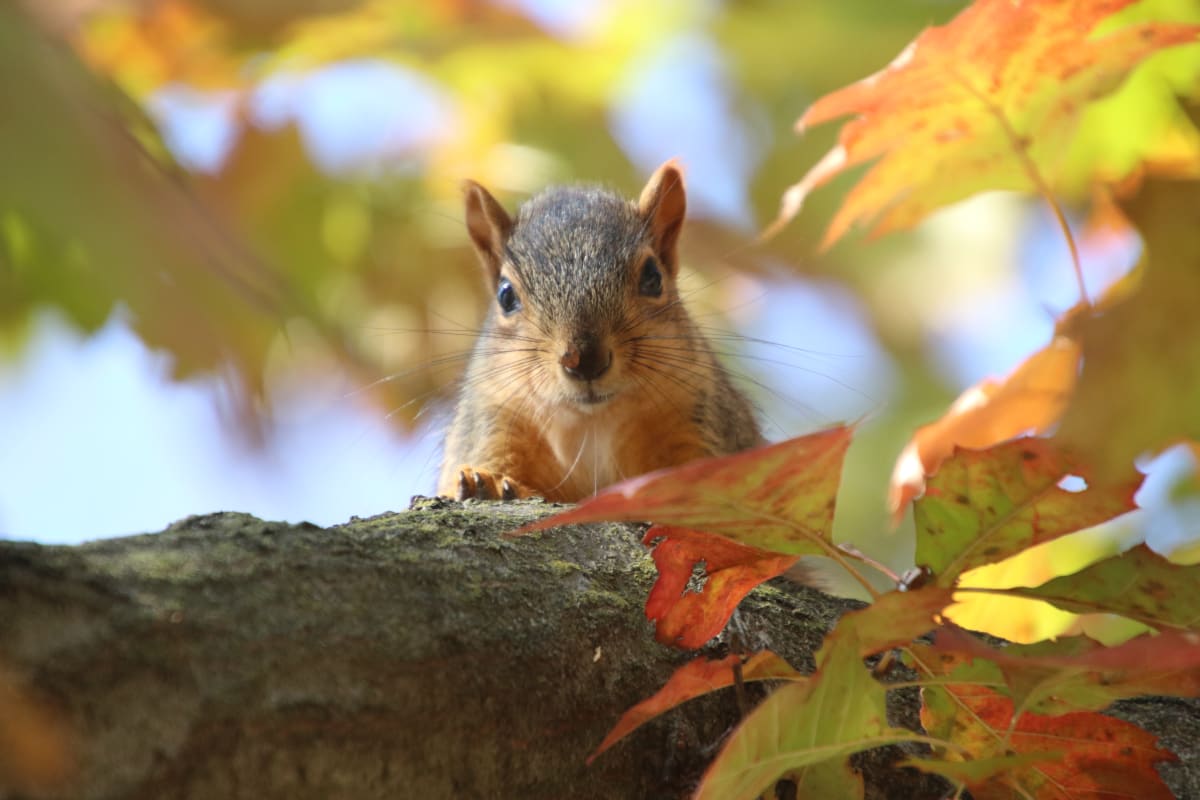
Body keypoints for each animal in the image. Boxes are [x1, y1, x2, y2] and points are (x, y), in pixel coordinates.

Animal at [436, 159, 763, 503]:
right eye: (505, 295)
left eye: (653, 277)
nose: (584, 360)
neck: (590, 425)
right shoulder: (493, 419)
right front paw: (490, 484)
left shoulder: (701, 412)